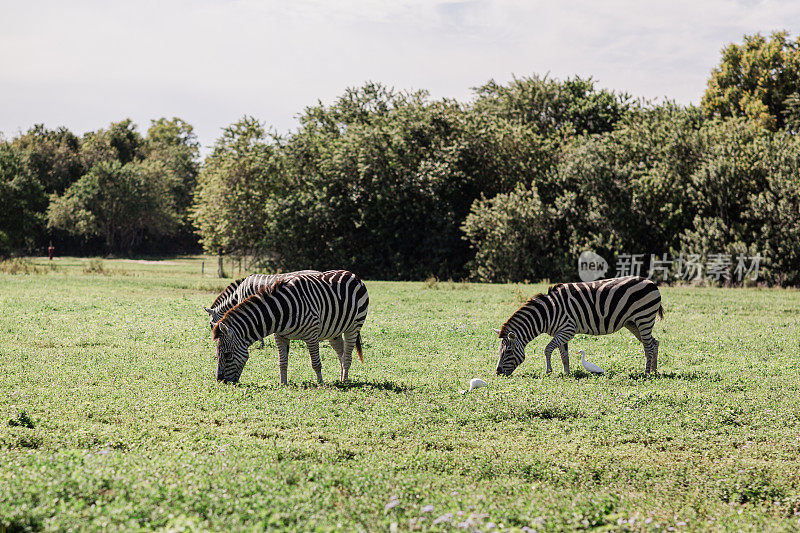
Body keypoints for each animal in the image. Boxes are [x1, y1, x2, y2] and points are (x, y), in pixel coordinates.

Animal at [211, 270, 370, 382]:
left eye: (227, 354)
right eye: (217, 354)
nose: (221, 381)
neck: (280, 311)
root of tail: (352, 274)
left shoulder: (311, 334)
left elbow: (316, 363)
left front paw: (321, 383)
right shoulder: (280, 335)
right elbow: (282, 362)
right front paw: (283, 384)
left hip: (354, 326)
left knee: (348, 356)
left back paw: (345, 381)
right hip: (334, 330)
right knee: (341, 353)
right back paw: (342, 376)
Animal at [494, 276, 664, 376]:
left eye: (508, 351)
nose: (498, 372)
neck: (548, 313)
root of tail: (651, 283)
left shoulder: (568, 330)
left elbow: (548, 349)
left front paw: (549, 370)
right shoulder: (561, 332)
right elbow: (564, 355)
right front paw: (567, 373)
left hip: (644, 317)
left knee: (648, 346)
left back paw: (646, 372)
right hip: (633, 323)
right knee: (654, 343)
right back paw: (654, 370)